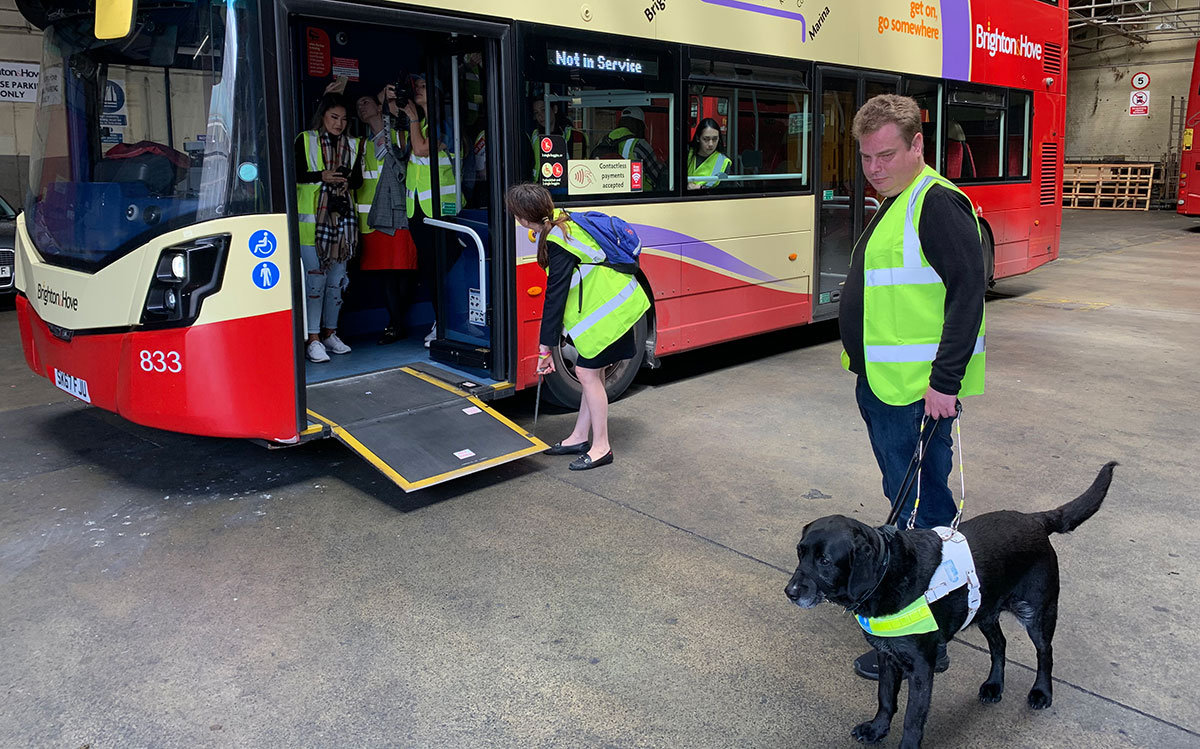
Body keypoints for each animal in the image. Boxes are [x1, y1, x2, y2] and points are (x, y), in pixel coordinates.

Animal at [787, 463, 1113, 749]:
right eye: (800, 553)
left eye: (825, 561)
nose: (790, 592)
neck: (888, 570)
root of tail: (1035, 519)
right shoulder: (888, 656)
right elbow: (885, 698)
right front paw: (877, 729)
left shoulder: (921, 668)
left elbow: (912, 719)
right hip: (985, 611)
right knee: (1000, 644)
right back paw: (994, 685)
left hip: (1037, 613)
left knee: (1045, 652)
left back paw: (1042, 692)